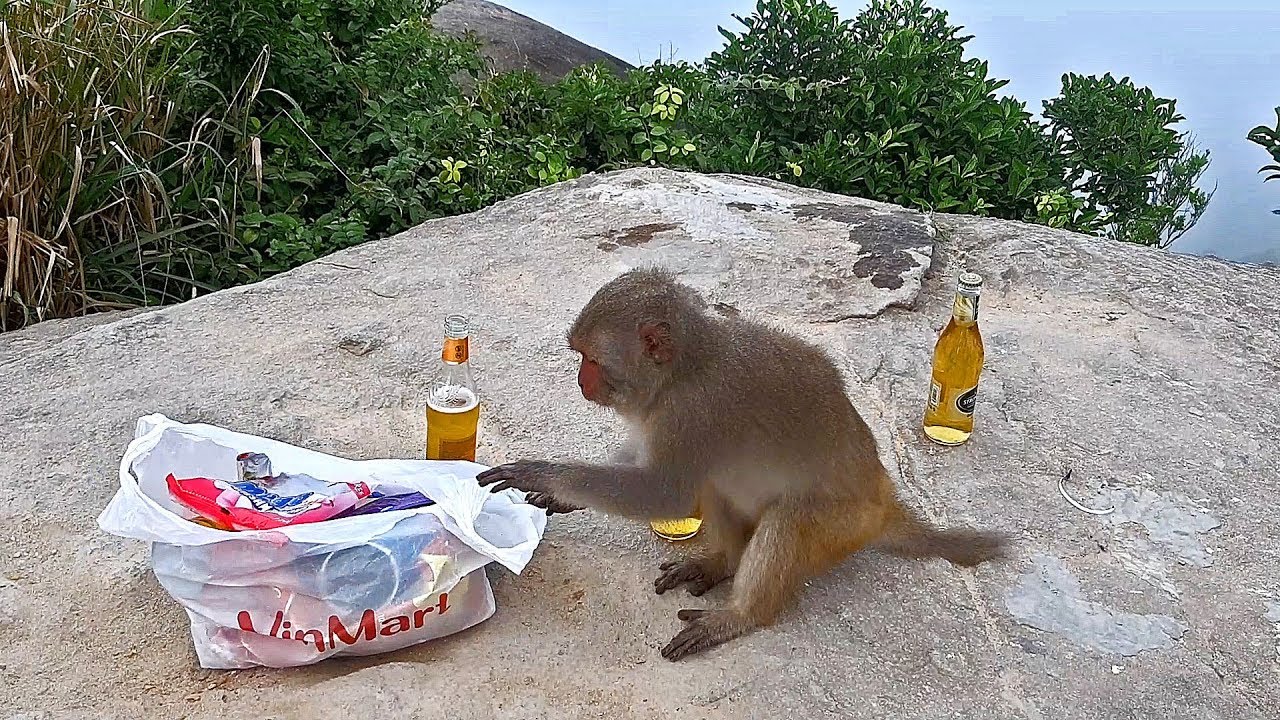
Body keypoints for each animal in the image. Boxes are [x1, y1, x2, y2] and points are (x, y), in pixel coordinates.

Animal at [476, 266, 1010, 661]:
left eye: (590, 359)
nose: (580, 381)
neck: (682, 370)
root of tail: (883, 492)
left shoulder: (692, 413)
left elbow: (664, 492)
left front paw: (543, 474)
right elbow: (646, 462)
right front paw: (560, 496)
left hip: (844, 523)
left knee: (788, 519)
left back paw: (741, 615)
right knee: (716, 486)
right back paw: (722, 562)